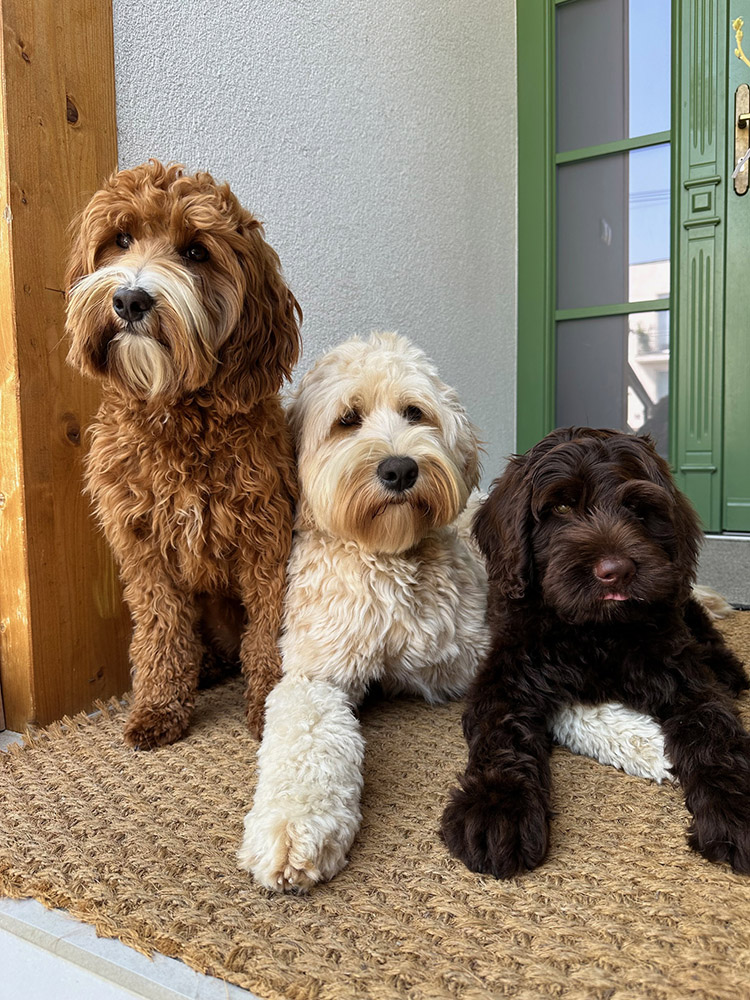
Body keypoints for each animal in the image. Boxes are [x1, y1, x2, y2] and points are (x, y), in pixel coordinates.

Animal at [239, 334, 668, 892]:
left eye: (414, 412)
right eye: (347, 419)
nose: (400, 469)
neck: (392, 560)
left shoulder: (484, 652)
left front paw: (639, 738)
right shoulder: (317, 674)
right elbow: (306, 736)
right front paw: (294, 829)